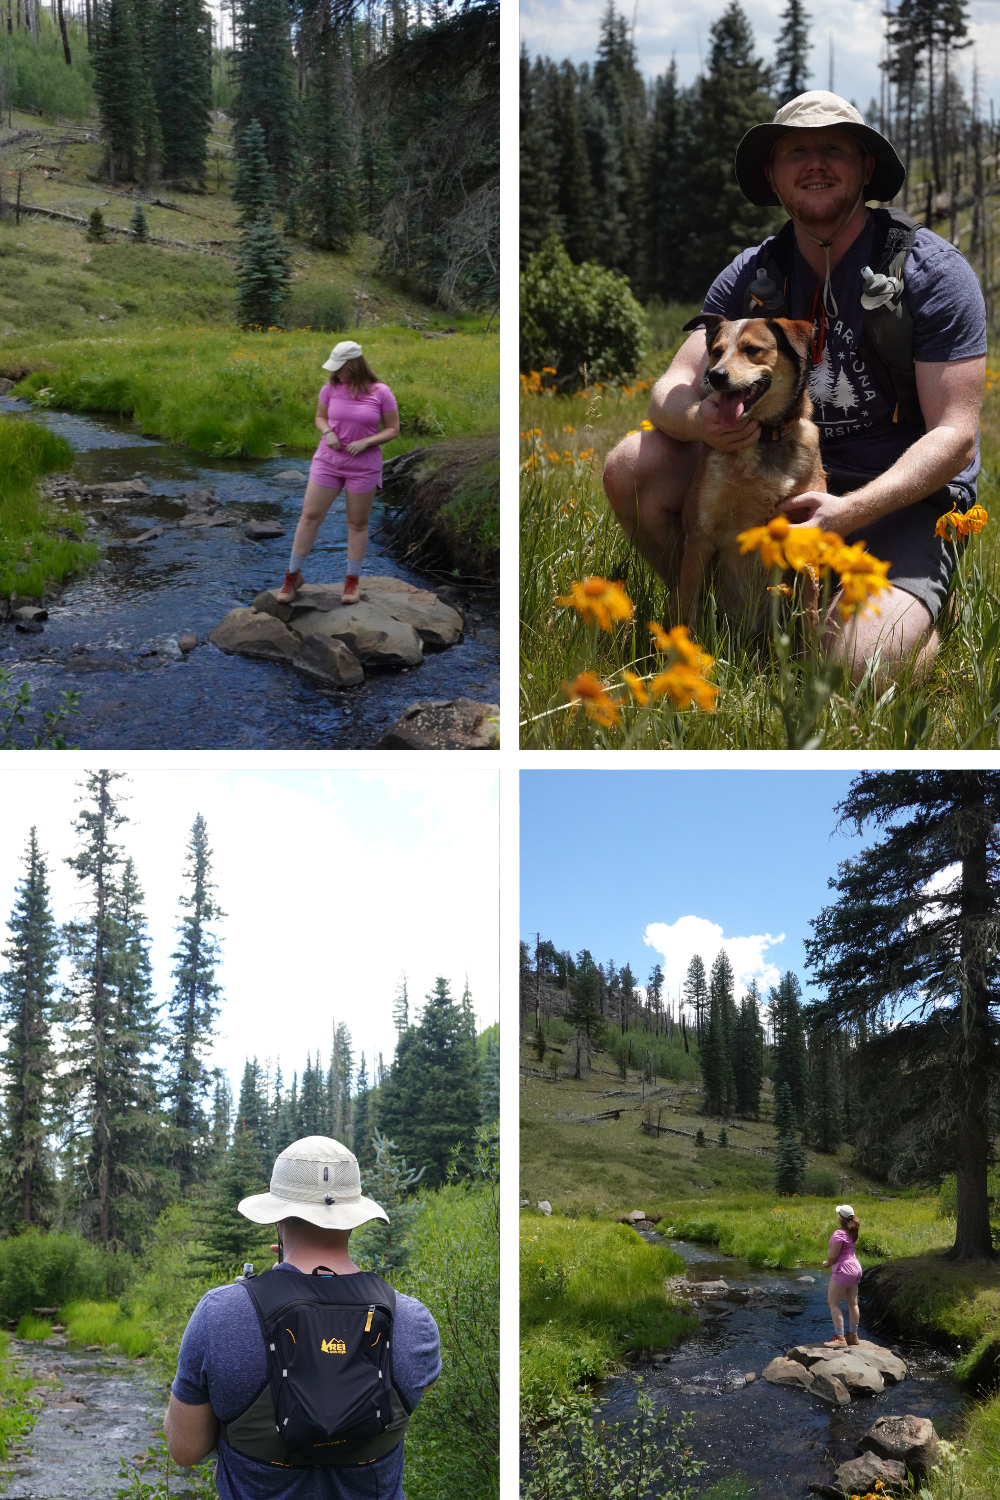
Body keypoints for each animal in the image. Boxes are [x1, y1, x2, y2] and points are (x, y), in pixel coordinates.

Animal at [677, 319, 827, 636]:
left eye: (752, 350)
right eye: (716, 352)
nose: (716, 376)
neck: (763, 438)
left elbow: (810, 620)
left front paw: (813, 652)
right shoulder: (700, 537)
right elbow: (688, 613)